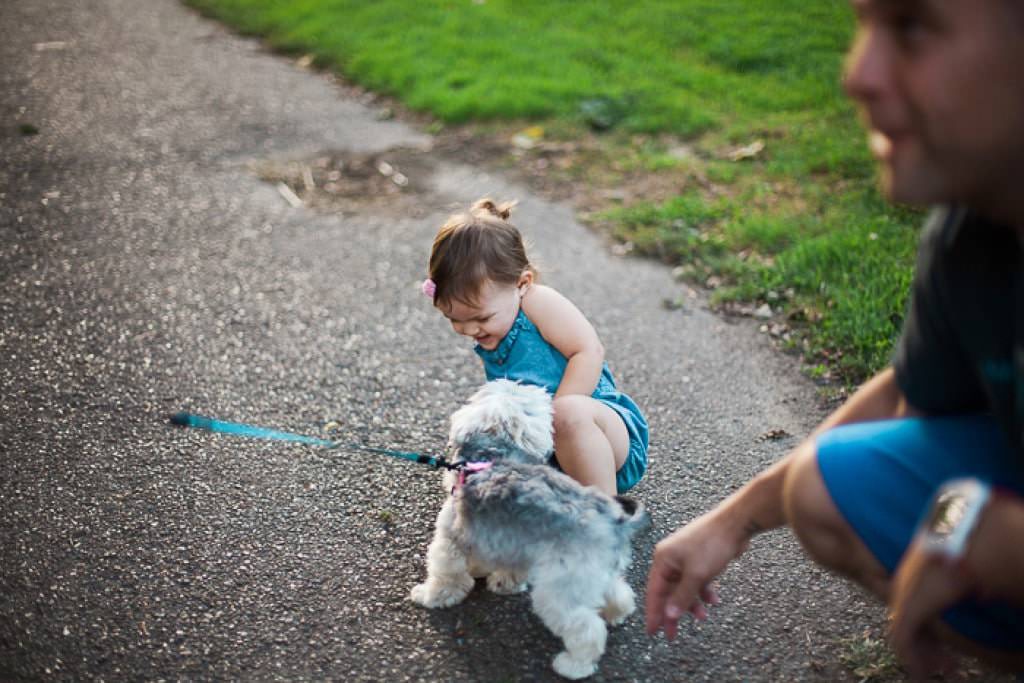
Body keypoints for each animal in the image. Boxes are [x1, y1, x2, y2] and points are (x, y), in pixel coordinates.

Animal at [409, 378, 643, 679]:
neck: (489, 459)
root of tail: (614, 522)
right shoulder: (509, 543)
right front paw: (499, 582)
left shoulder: (450, 539)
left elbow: (445, 575)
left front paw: (431, 596)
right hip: (593, 575)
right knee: (619, 594)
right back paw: (616, 614)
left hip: (559, 590)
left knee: (586, 629)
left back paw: (573, 665)